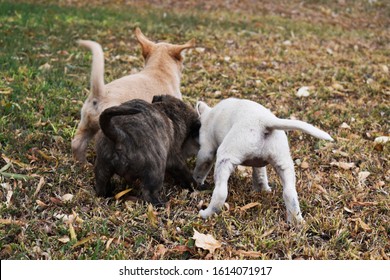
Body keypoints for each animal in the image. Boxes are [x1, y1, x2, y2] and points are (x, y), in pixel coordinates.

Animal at [193, 97, 334, 224]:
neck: (209, 114)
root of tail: (264, 122)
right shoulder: (259, 163)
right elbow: (260, 173)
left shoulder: (206, 150)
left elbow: (200, 168)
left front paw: (196, 183)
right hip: (283, 162)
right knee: (289, 193)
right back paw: (297, 222)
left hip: (226, 156)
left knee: (221, 193)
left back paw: (206, 214)